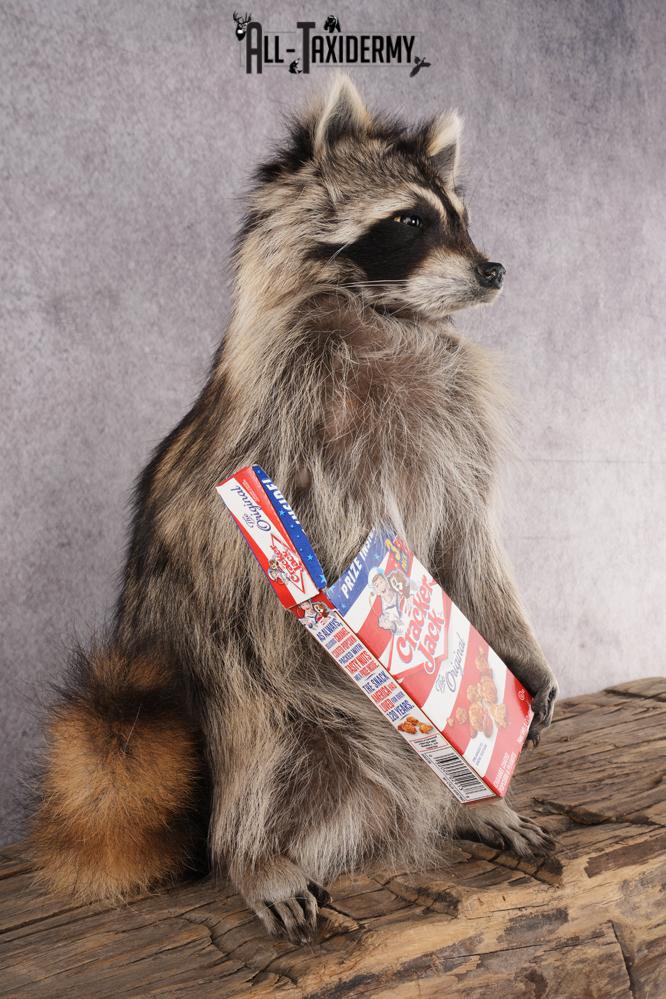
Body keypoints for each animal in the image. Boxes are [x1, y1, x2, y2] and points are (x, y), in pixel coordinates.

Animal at [32, 75, 558, 943]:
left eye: (461, 215)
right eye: (408, 221)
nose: (494, 270)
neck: (384, 315)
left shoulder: (456, 426)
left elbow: (469, 536)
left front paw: (518, 651)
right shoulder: (282, 429)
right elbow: (316, 542)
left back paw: (466, 800)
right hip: (234, 676)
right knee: (260, 741)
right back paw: (256, 852)